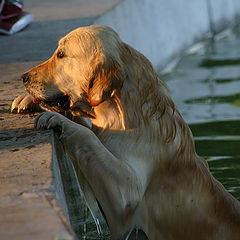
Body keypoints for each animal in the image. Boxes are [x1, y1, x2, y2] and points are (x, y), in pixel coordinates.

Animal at [11, 25, 240, 239]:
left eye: (61, 54)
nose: (23, 77)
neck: (125, 113)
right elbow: (88, 130)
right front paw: (29, 101)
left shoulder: (125, 196)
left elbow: (87, 136)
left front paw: (57, 119)